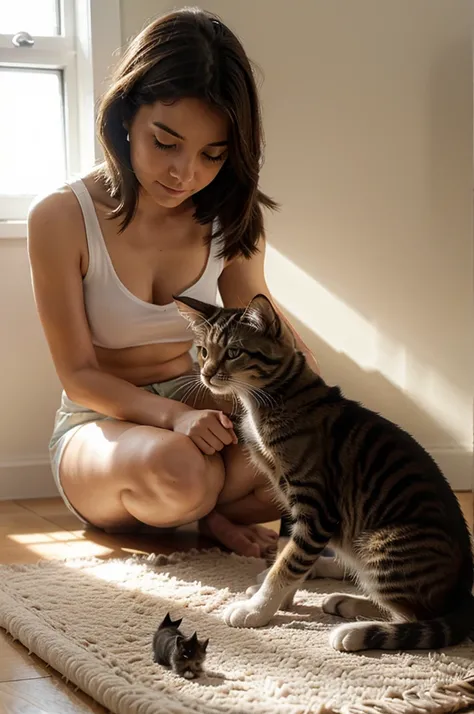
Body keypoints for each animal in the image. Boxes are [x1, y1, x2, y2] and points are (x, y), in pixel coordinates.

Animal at [176, 292, 474, 648]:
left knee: (414, 616)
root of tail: (464, 591)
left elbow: (288, 564)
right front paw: (281, 601)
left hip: (380, 546)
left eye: (233, 352)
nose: (206, 374)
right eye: (203, 351)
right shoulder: (290, 503)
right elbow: (287, 552)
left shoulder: (317, 507)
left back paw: (353, 628)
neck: (269, 401)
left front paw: (257, 610)